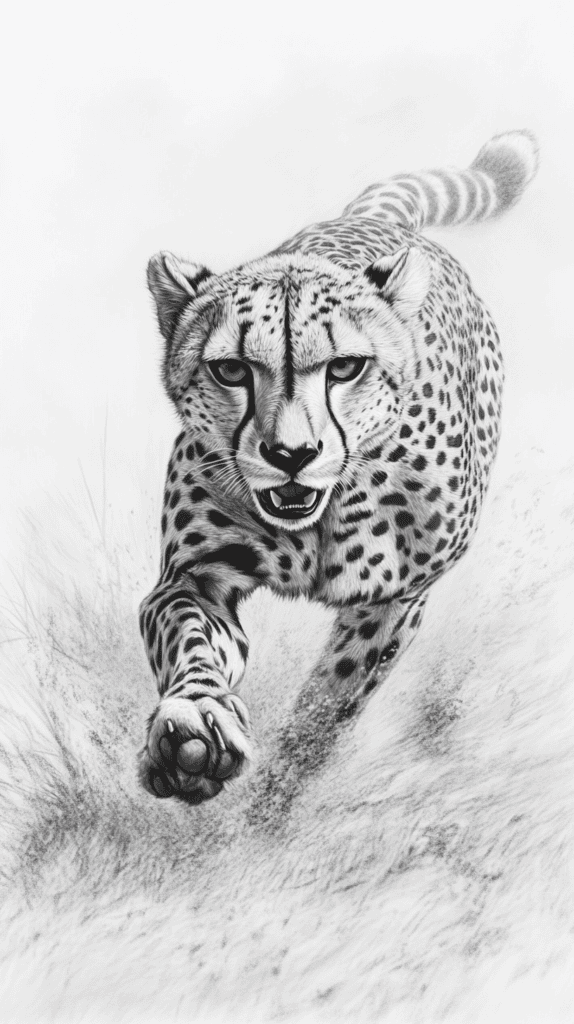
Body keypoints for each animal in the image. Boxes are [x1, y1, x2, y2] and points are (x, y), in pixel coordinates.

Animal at [137, 130, 538, 806]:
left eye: (346, 367)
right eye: (231, 370)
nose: (291, 455)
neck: (317, 522)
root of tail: (367, 219)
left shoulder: (397, 602)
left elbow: (327, 705)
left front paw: (269, 808)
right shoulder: (193, 575)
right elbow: (189, 641)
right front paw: (192, 729)